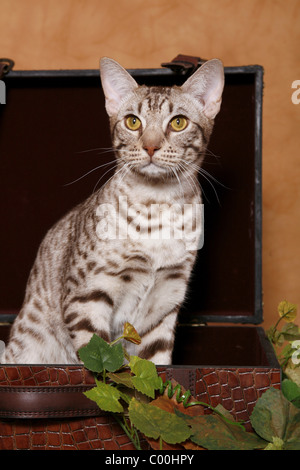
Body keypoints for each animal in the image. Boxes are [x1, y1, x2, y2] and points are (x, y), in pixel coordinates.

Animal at [1, 57, 224, 366]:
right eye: (133, 121)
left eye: (178, 122)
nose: (151, 146)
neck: (158, 204)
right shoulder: (87, 295)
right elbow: (103, 360)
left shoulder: (166, 300)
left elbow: (155, 365)